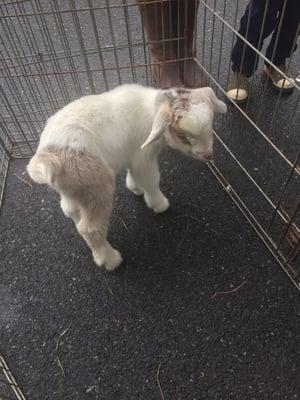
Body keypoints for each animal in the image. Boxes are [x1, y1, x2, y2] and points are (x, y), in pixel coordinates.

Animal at [27, 84, 226, 272]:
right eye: (182, 135)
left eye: (211, 124)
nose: (208, 155)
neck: (151, 110)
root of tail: (49, 158)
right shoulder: (144, 159)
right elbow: (151, 180)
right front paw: (159, 205)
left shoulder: (133, 157)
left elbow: (135, 175)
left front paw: (135, 188)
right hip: (97, 188)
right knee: (90, 229)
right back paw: (110, 260)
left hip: (76, 189)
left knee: (70, 211)